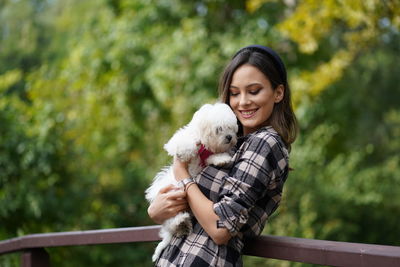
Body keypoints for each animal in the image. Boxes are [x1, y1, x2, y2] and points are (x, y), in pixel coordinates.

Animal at [146, 103, 238, 262]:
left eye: (231, 128)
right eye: (219, 129)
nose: (229, 137)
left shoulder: (207, 157)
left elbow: (213, 157)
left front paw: (222, 159)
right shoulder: (182, 139)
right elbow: (185, 144)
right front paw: (185, 151)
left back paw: (182, 223)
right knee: (172, 219)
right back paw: (181, 221)